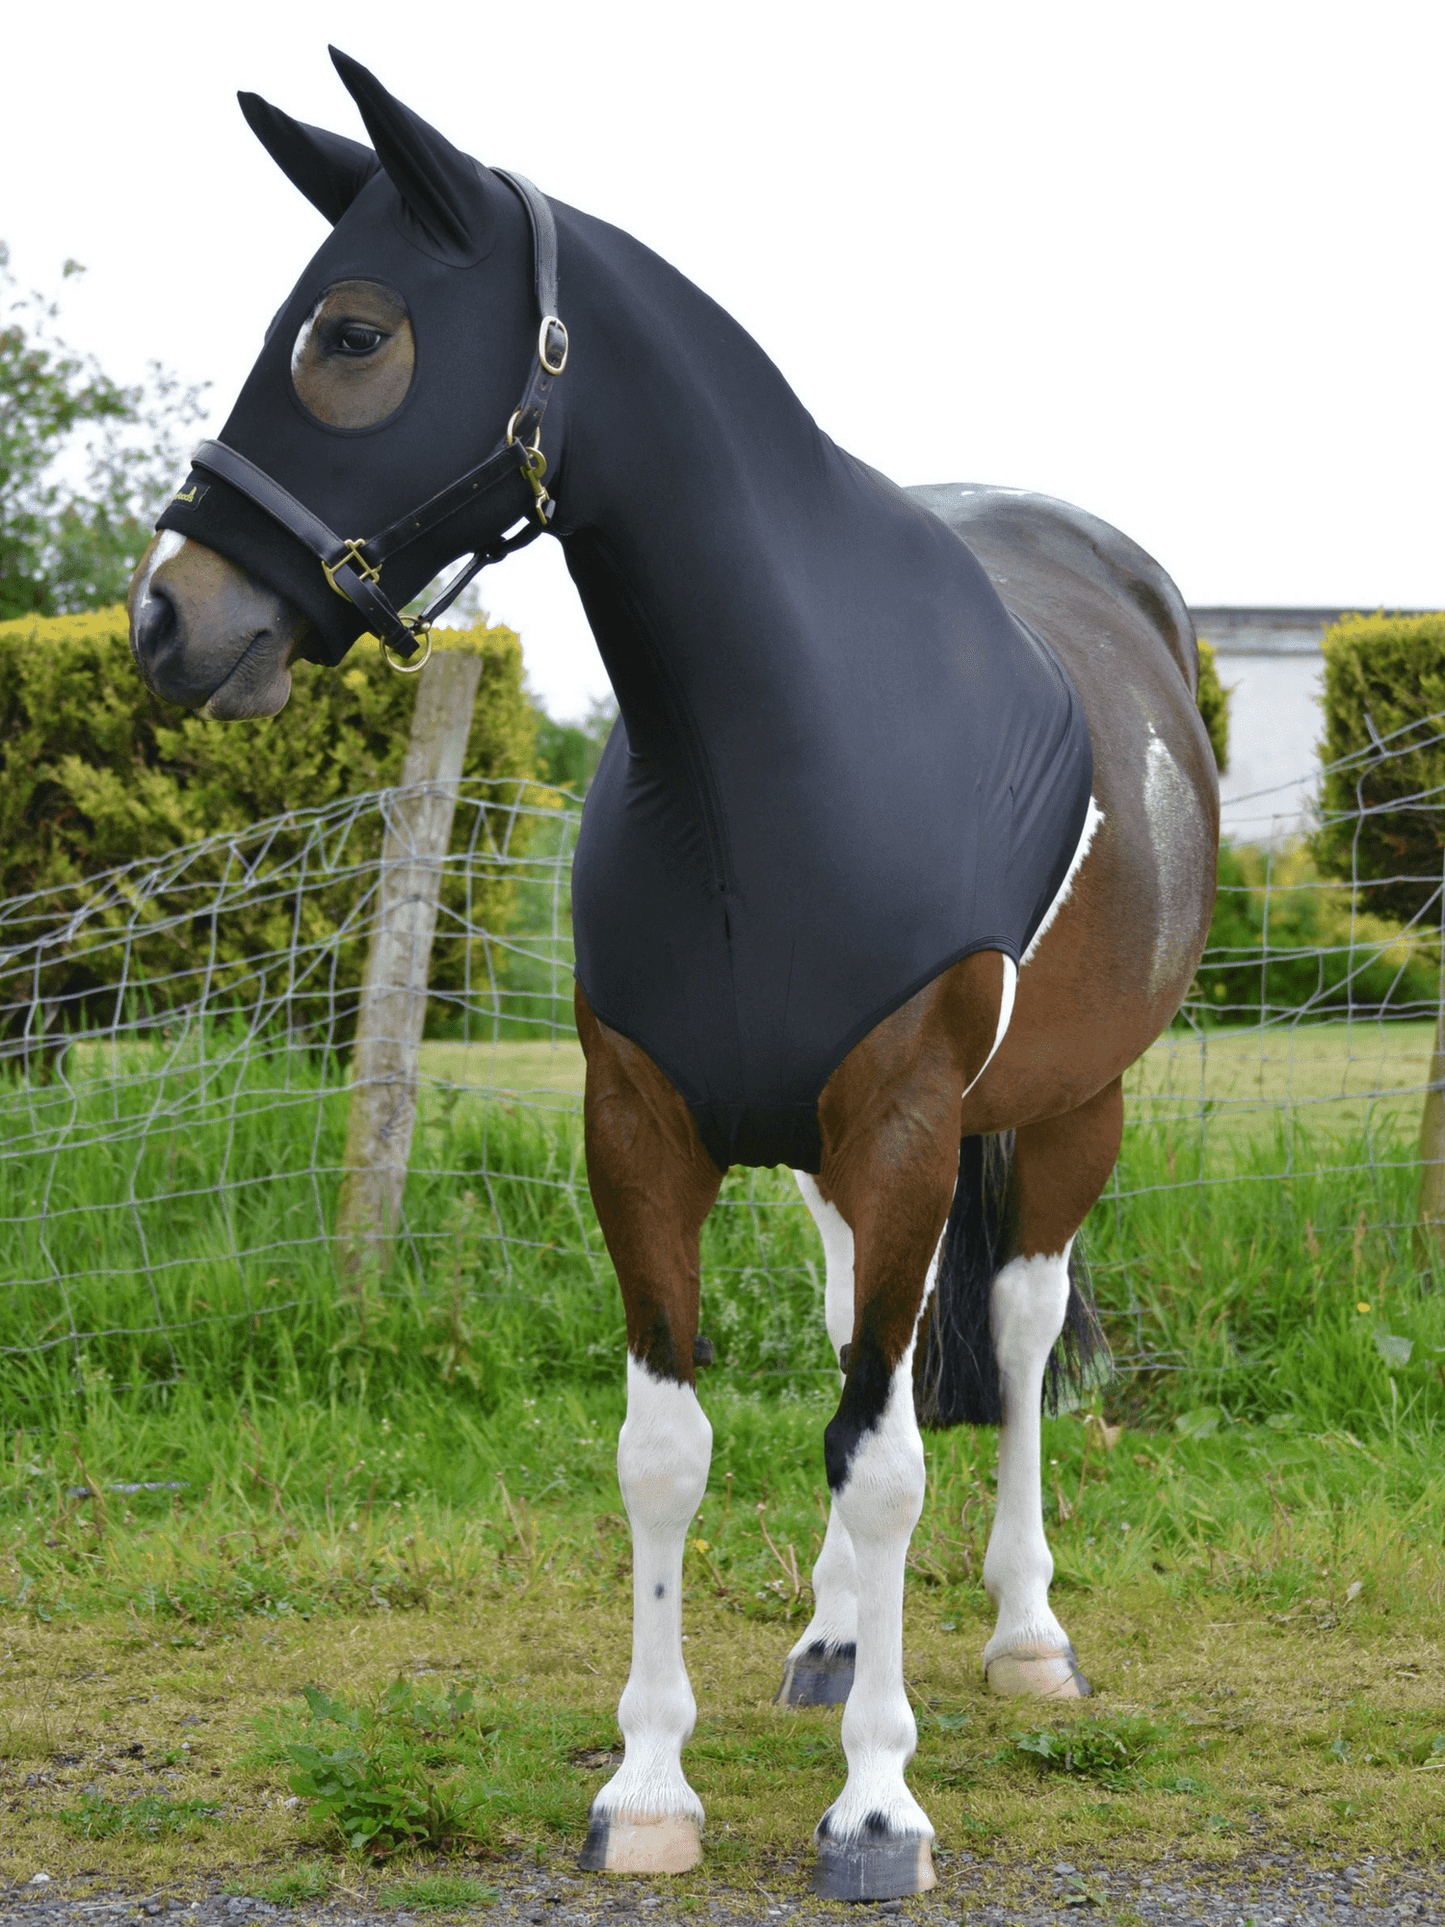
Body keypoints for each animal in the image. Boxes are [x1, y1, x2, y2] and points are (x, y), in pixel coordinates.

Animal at [127, 52, 1225, 1903]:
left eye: (352, 332)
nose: (165, 617)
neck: (771, 749)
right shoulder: (647, 1125)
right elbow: (673, 1450)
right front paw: (650, 1782)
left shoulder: (907, 1120)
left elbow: (885, 1455)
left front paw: (878, 1807)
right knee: (879, 1333)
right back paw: (836, 1640)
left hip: (1068, 1108)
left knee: (1007, 1337)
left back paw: (1021, 1633)